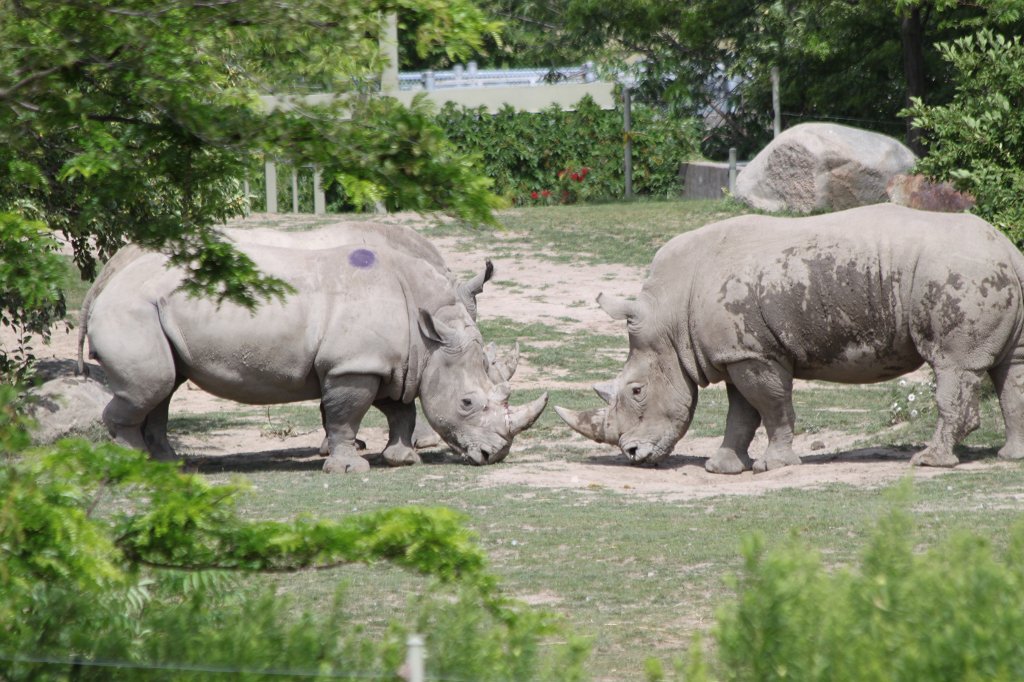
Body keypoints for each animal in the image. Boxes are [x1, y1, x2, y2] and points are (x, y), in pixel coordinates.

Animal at [85, 241, 547, 473]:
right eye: (467, 403)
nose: (494, 456)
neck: (430, 335)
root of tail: (105, 283)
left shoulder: (393, 363)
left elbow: (401, 410)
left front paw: (403, 460)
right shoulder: (353, 366)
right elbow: (346, 416)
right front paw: (349, 469)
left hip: (150, 308)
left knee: (164, 386)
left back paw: (168, 465)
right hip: (132, 309)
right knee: (152, 385)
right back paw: (135, 465)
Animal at [556, 203, 1024, 473]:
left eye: (636, 391)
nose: (632, 455)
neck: (670, 317)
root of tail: (1006, 248)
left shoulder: (755, 353)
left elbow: (771, 407)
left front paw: (772, 466)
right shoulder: (736, 352)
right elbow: (741, 414)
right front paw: (721, 468)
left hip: (960, 275)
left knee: (952, 364)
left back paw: (928, 462)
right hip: (990, 272)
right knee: (1012, 369)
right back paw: (1011, 457)